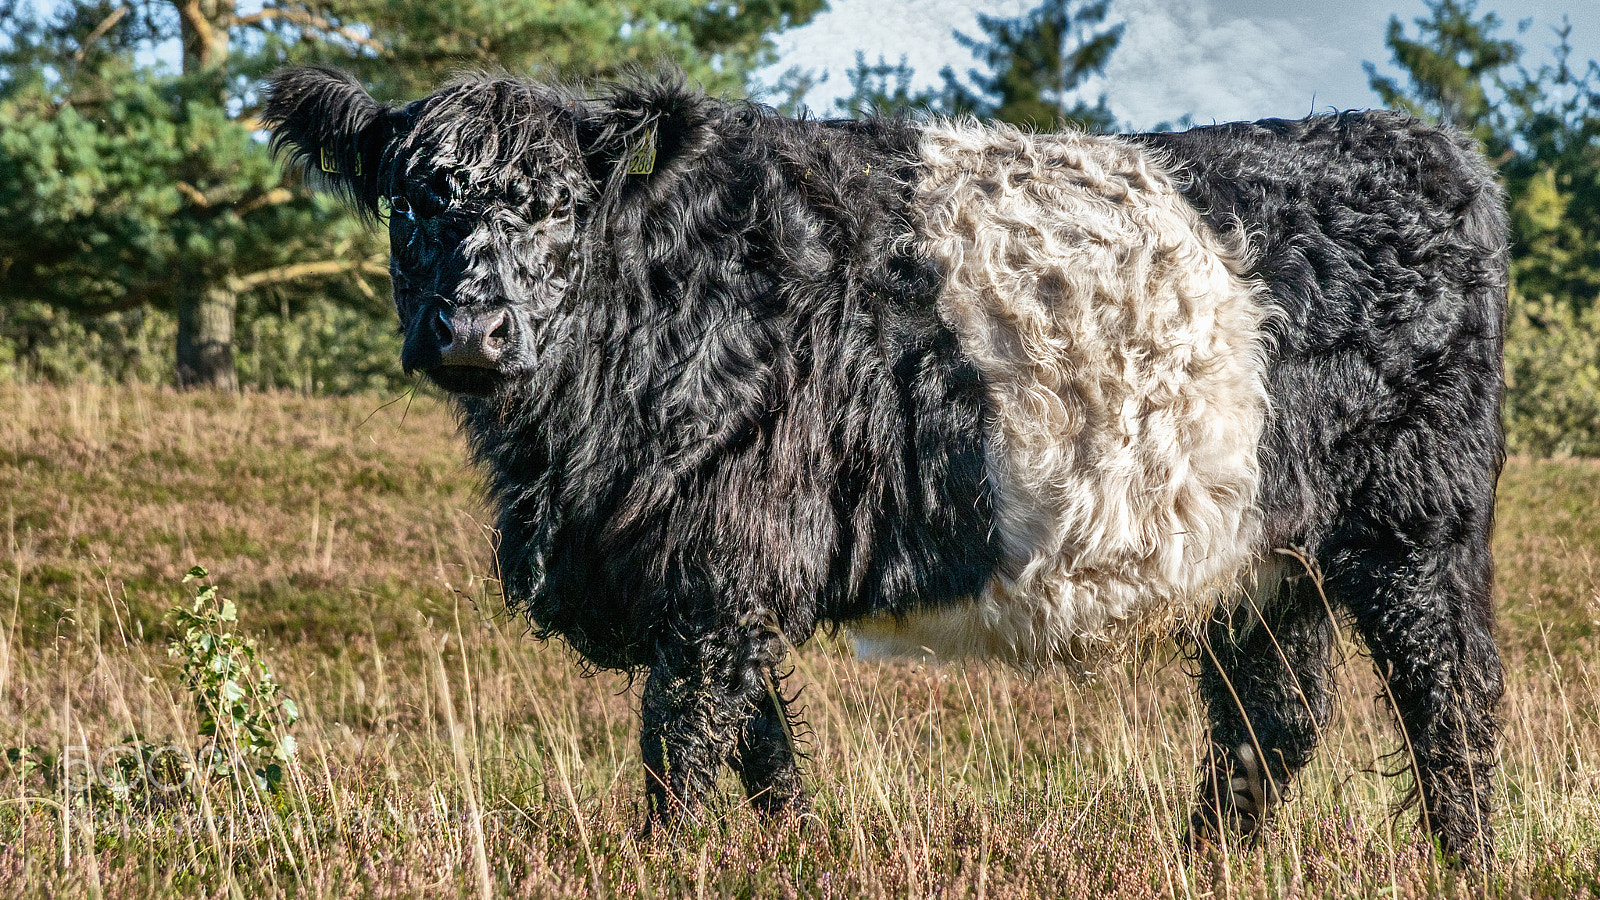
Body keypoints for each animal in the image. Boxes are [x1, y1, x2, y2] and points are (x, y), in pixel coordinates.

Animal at [263, 67, 1508, 864]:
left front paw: (667, 864)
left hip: (1416, 526)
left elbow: (685, 751)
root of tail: (1418, 143)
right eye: (413, 200)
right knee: (1270, 717)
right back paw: (1203, 866)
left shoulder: (725, 566)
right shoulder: (717, 574)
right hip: (1265, 552)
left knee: (1452, 704)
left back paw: (1462, 866)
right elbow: (763, 752)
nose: (472, 332)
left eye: (559, 206)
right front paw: (800, 857)